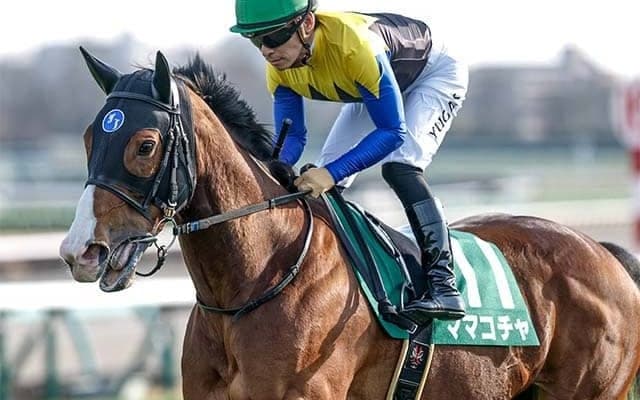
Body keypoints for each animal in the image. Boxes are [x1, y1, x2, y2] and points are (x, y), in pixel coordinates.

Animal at [59, 48, 640, 399]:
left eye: (145, 145)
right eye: (88, 137)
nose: (79, 251)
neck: (258, 279)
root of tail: (604, 252)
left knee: (403, 165)